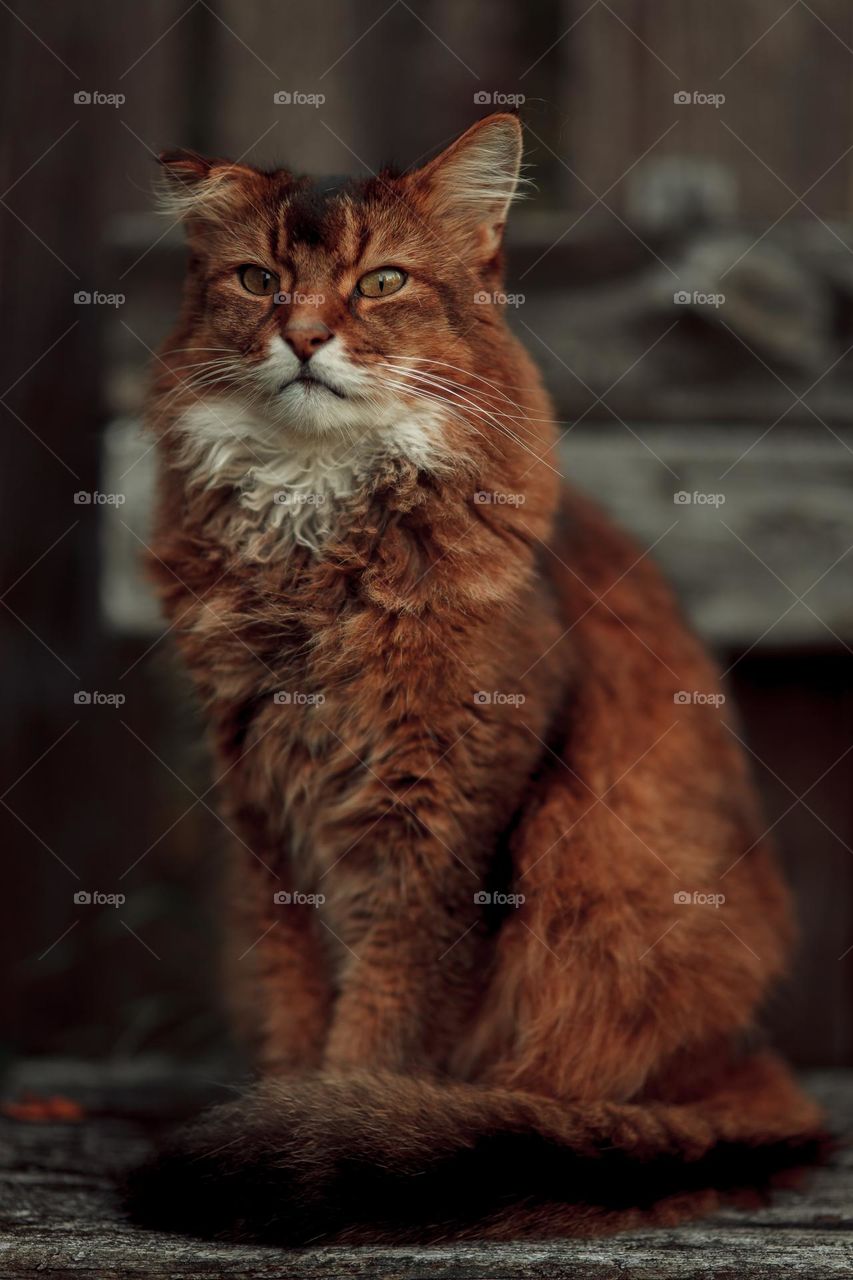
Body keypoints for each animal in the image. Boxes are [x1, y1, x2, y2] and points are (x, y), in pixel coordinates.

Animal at [128, 115, 824, 1244]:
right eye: (259, 279)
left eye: (379, 282)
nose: (304, 338)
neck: (314, 531)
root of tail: (751, 1057)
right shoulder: (263, 813)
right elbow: (292, 995)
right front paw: (289, 1105)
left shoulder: (441, 816)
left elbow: (386, 1016)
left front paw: (331, 1120)